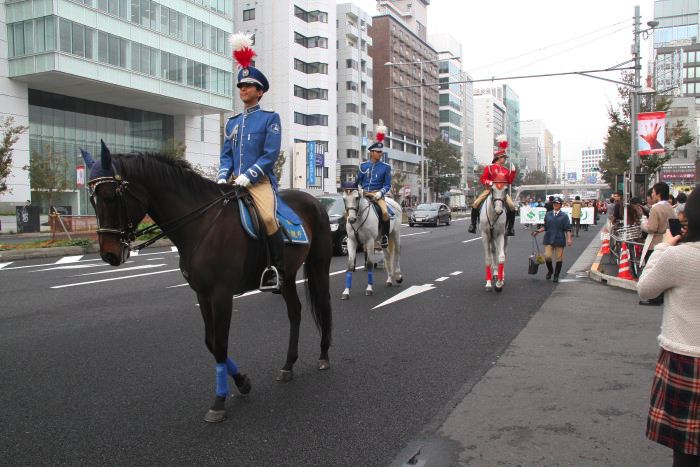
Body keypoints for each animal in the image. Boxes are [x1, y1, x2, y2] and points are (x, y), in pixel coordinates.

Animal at [85, 143, 334, 424]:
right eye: (92, 199)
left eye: (110, 196)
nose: (109, 255)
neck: (201, 224)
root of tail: (316, 201)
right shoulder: (202, 294)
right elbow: (211, 343)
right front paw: (242, 382)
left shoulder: (221, 293)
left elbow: (221, 343)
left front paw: (219, 402)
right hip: (288, 275)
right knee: (295, 312)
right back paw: (288, 365)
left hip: (318, 263)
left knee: (323, 304)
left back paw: (323, 355)